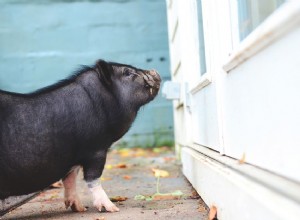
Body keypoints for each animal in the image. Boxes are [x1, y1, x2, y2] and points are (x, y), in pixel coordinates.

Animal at [0, 59, 162, 212]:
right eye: (127, 73)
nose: (154, 71)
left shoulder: (74, 156)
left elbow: (70, 178)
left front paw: (79, 208)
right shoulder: (96, 148)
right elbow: (93, 178)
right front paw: (112, 209)